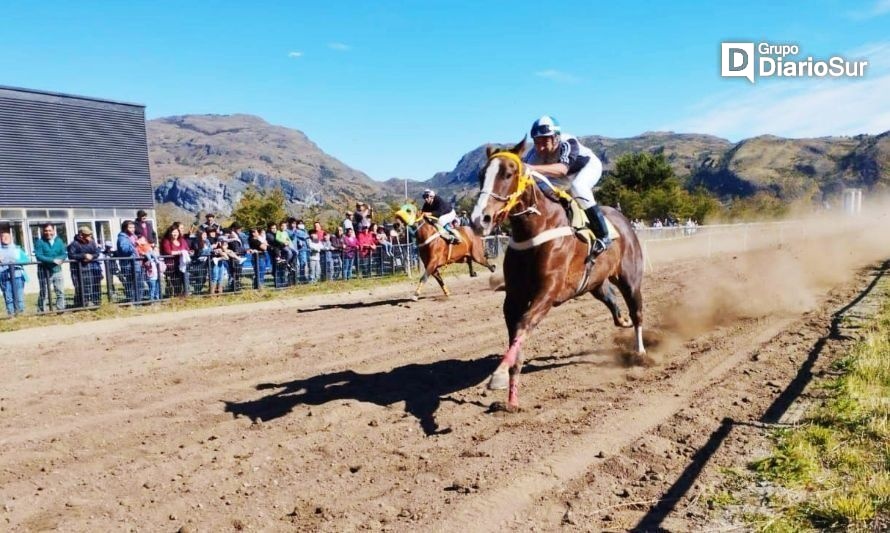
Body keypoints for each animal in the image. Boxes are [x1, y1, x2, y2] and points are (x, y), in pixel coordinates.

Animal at [468, 139, 640, 410]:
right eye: (481, 175)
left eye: (508, 173)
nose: (479, 219)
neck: (537, 229)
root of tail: (622, 219)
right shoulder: (514, 298)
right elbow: (516, 334)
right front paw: (510, 396)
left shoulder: (547, 292)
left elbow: (523, 325)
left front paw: (498, 375)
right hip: (594, 281)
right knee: (609, 296)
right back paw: (622, 320)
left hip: (631, 278)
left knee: (638, 311)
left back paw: (642, 352)